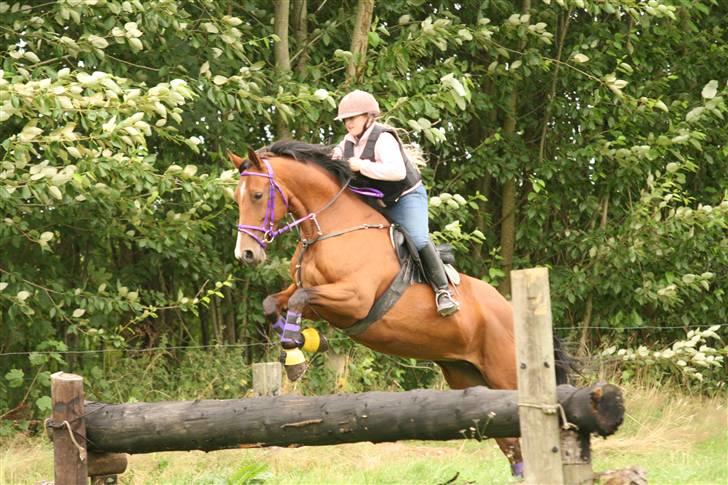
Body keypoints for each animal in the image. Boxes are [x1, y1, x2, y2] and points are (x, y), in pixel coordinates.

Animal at [230, 140, 564, 476]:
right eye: (236, 197)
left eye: (257, 195)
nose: (246, 254)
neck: (330, 229)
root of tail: (510, 310)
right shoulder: (314, 297)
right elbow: (274, 303)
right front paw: (303, 344)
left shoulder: (354, 300)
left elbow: (300, 299)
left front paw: (298, 353)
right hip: (468, 375)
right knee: (513, 446)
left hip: (506, 373)